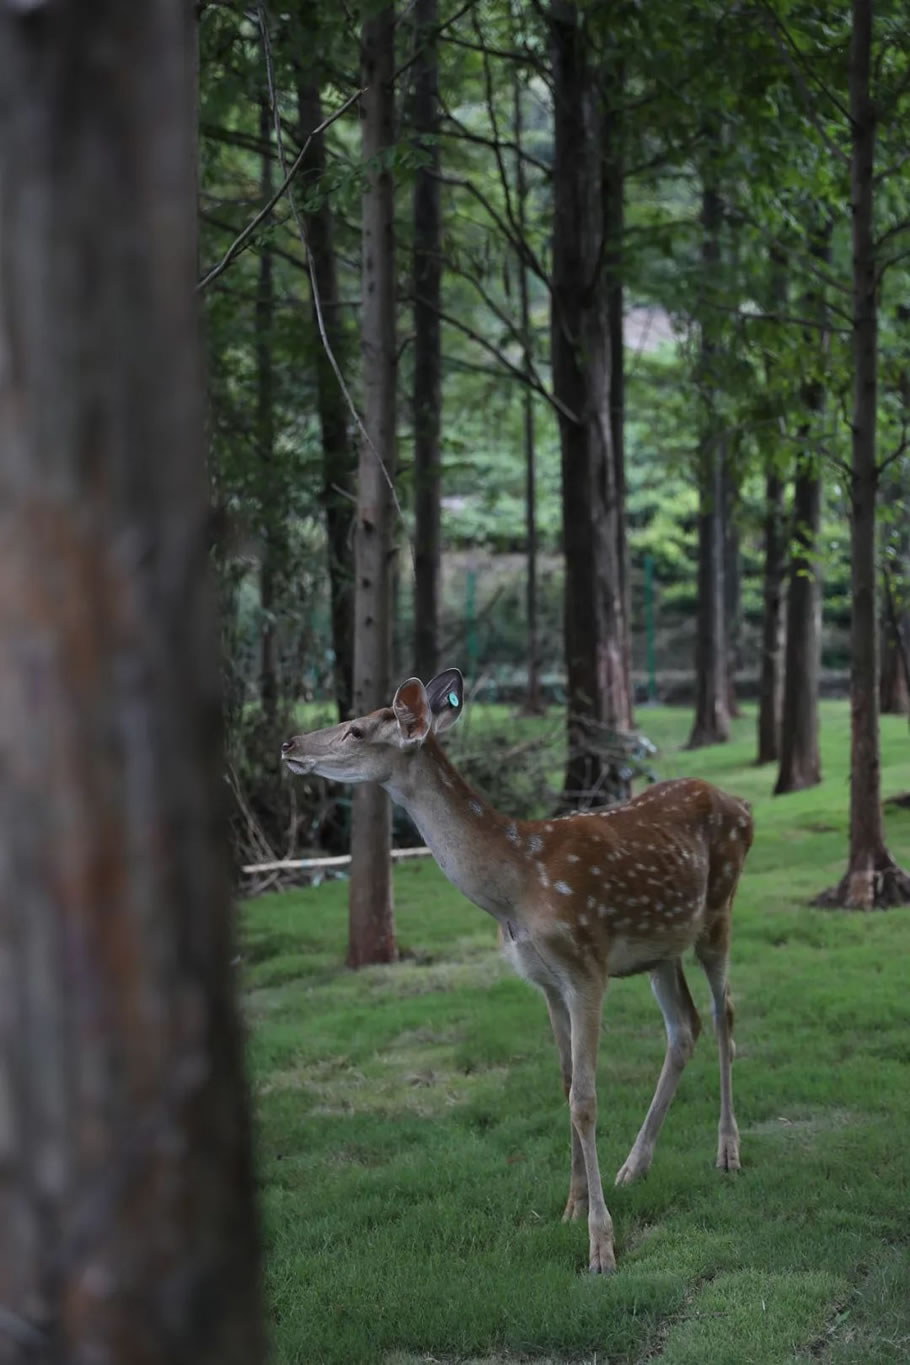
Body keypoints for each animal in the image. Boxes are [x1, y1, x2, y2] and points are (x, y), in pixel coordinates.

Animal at [282, 666, 753, 1272]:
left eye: (357, 729)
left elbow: (585, 1101)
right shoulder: (545, 982)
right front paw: (573, 1206)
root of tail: (743, 805)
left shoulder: (586, 969)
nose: (290, 744)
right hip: (662, 946)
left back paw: (727, 1152)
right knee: (684, 1027)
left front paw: (601, 1246)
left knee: (724, 1018)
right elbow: (566, 1084)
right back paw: (634, 1165)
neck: (515, 889)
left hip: (718, 911)